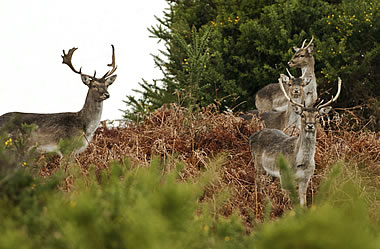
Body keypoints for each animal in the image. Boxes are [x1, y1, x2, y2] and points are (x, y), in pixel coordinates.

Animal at [249, 76, 342, 206]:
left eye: (317, 116)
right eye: (302, 115)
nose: (310, 125)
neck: (301, 163)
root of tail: (252, 136)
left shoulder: (306, 178)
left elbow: (303, 203)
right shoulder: (284, 176)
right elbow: (287, 202)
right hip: (258, 165)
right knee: (258, 183)